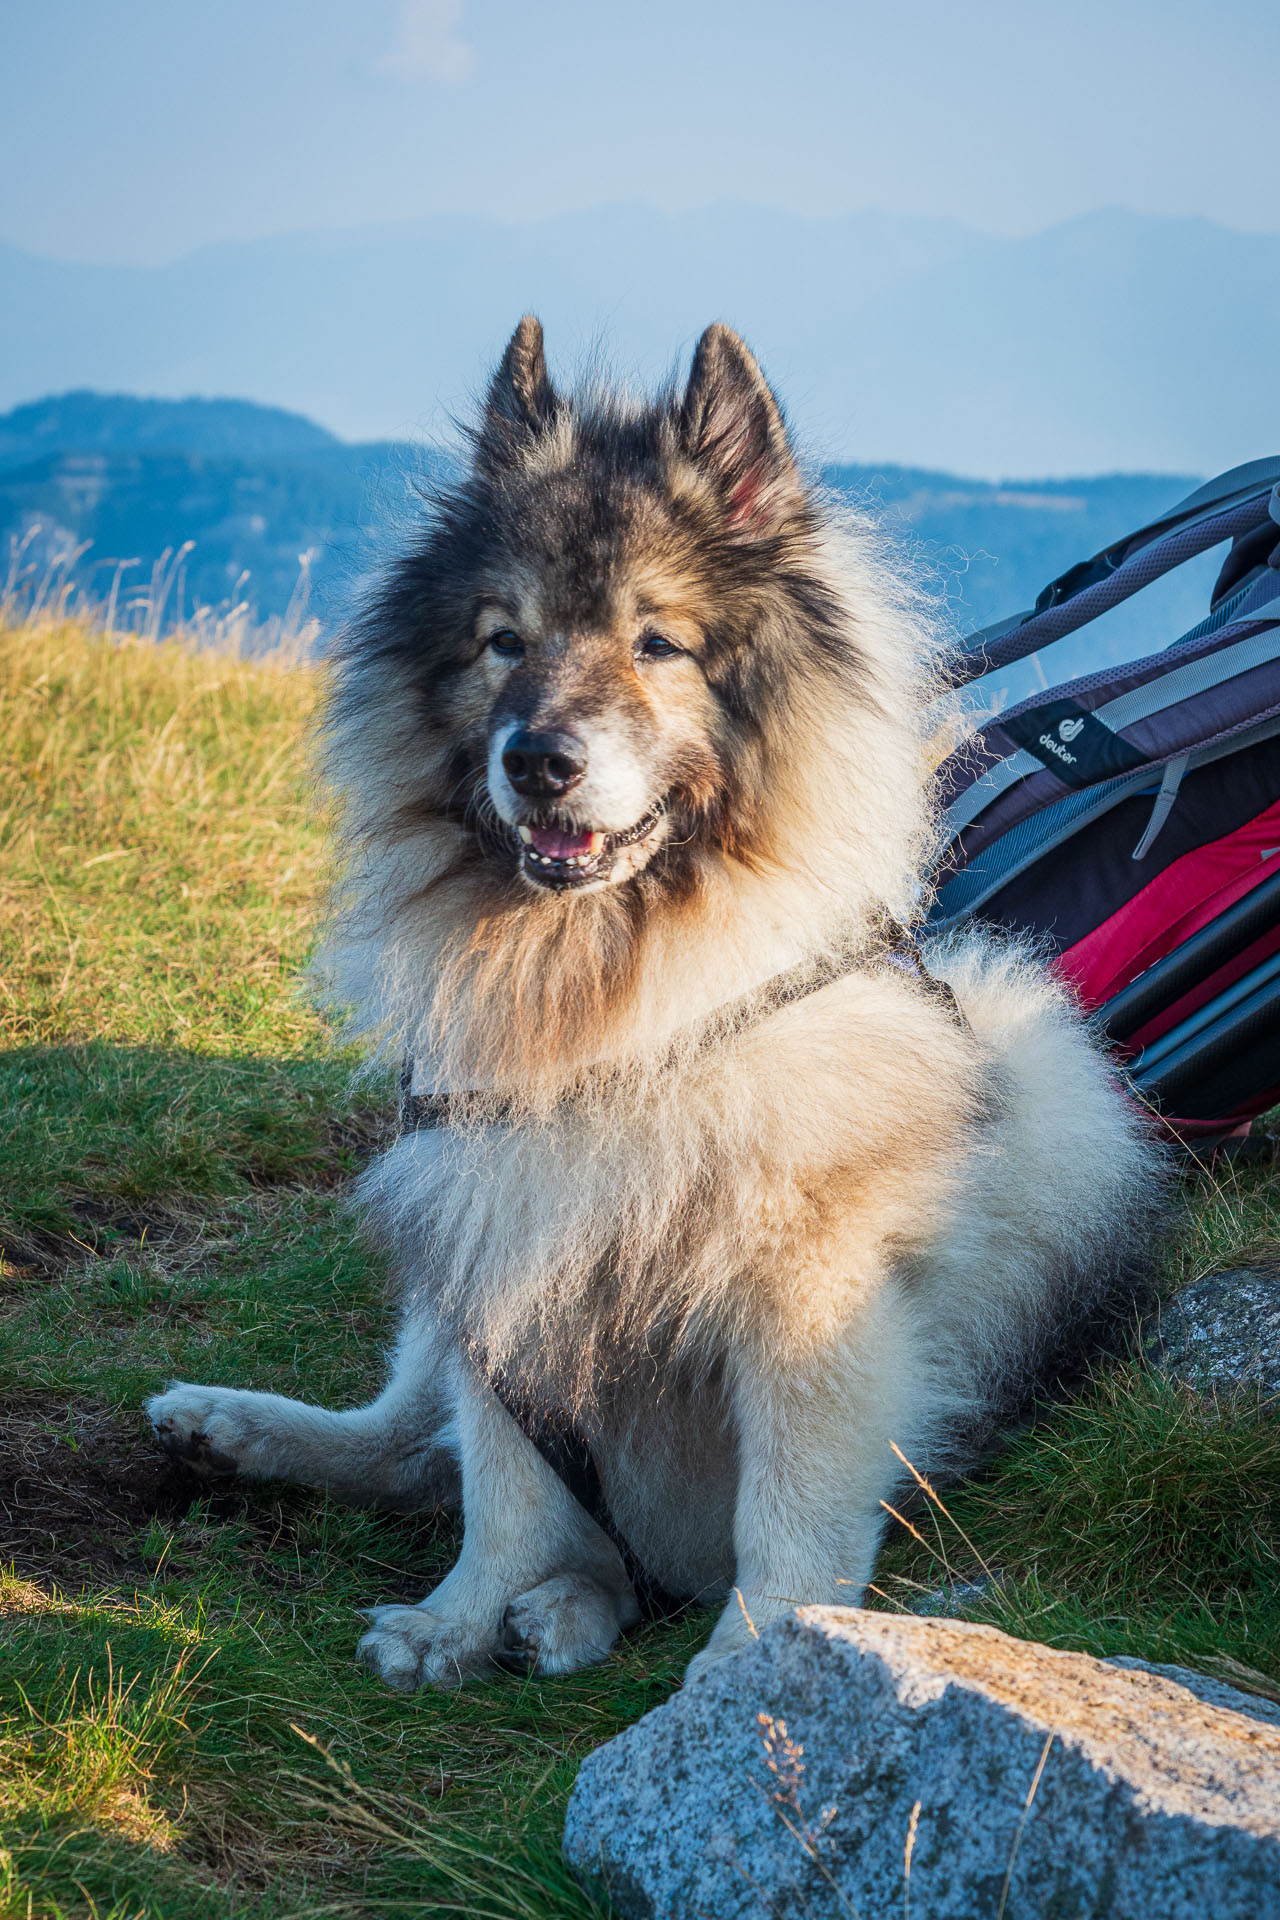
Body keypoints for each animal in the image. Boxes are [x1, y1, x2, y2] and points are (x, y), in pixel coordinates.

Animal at [144, 322, 1166, 1689]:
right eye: (503, 641)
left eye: (656, 644)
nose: (537, 761)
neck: (615, 997)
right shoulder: (494, 1250)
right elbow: (502, 1490)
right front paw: (458, 1620)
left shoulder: (808, 1286)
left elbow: (788, 1510)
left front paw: (754, 1662)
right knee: (412, 1442)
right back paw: (239, 1432)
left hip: (1049, 1084)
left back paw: (568, 1605)